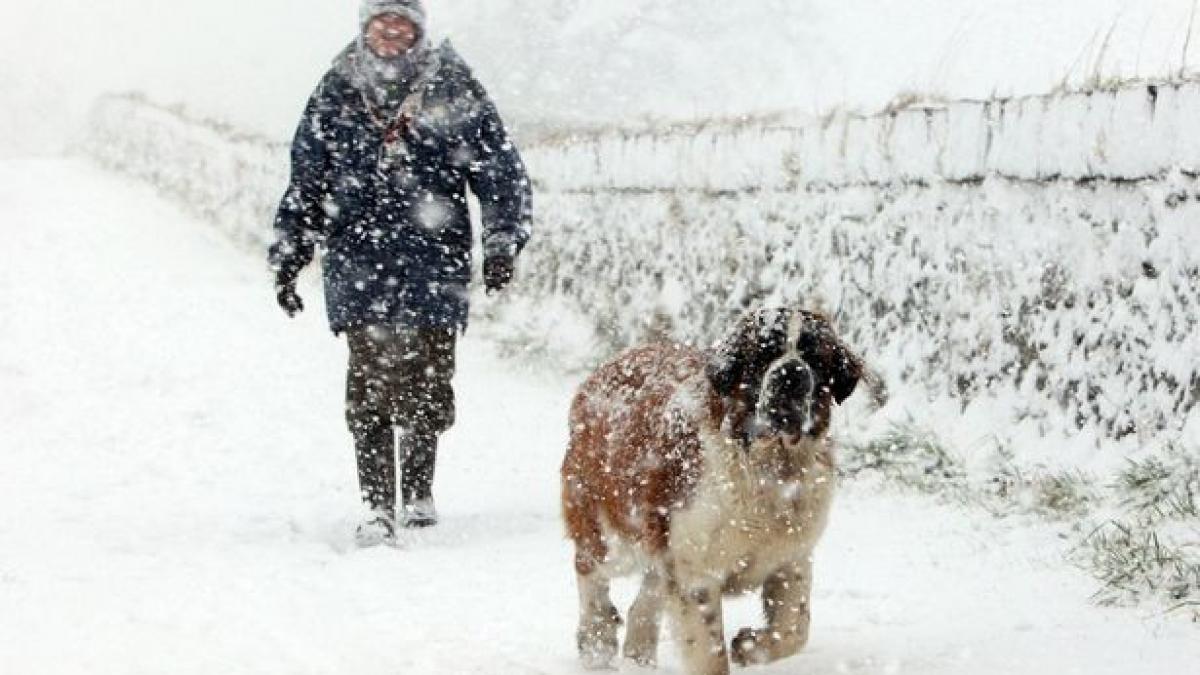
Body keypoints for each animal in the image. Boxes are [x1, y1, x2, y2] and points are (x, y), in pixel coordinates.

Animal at [561, 307, 864, 667]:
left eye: (813, 357)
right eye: (764, 354)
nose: (791, 374)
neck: (767, 467)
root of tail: (609, 366)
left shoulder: (792, 558)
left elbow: (794, 628)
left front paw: (749, 645)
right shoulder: (697, 572)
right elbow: (710, 652)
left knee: (647, 594)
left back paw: (639, 652)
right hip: (609, 525)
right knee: (589, 568)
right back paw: (597, 639)